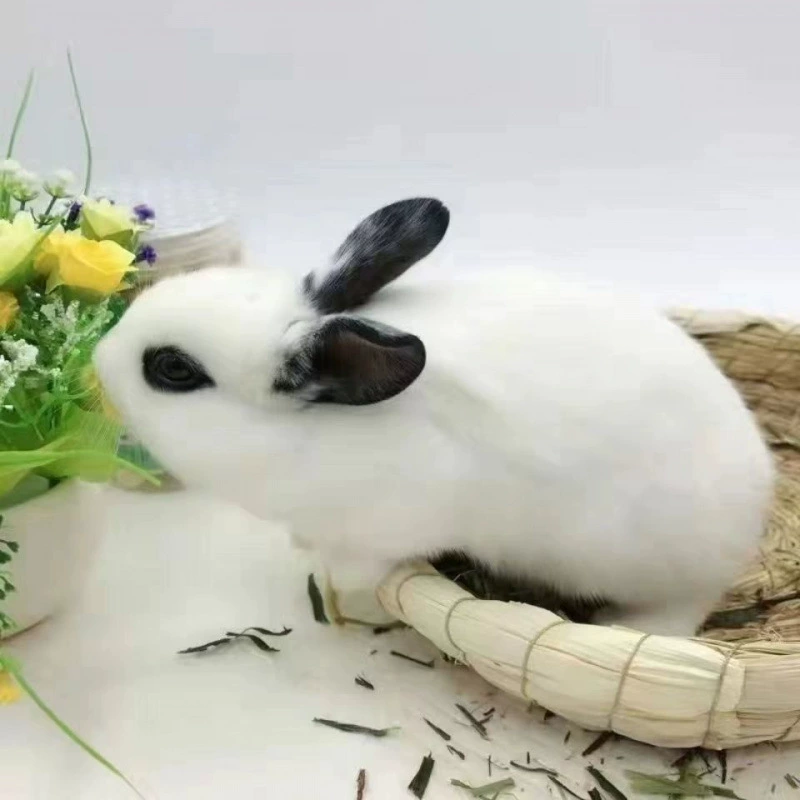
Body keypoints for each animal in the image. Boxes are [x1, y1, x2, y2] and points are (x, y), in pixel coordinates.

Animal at [94, 197, 774, 636]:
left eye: (173, 369)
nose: (98, 361)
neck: (314, 431)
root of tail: (758, 494)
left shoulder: (393, 524)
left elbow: (361, 565)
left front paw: (339, 581)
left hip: (659, 570)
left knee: (680, 612)